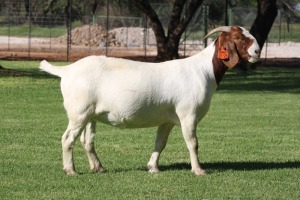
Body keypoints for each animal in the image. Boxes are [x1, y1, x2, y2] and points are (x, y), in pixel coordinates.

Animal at [39, 25, 260, 175]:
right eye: (237, 37)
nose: (257, 51)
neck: (203, 70)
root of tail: (66, 70)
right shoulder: (188, 114)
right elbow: (192, 142)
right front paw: (198, 170)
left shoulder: (168, 119)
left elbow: (160, 142)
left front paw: (153, 167)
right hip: (79, 112)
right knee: (68, 138)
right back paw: (71, 170)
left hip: (90, 115)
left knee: (88, 141)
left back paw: (98, 167)